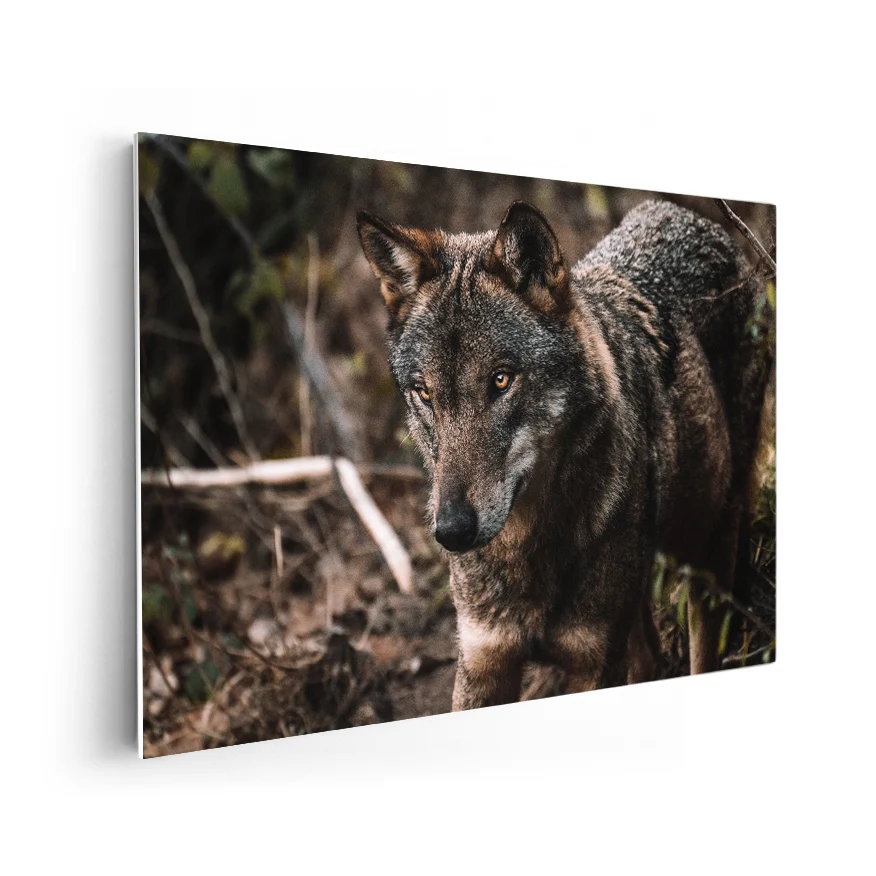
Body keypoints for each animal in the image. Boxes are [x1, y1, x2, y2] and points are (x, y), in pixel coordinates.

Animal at [358, 198, 772, 710]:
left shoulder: (594, 662)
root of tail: (678, 210)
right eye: (425, 393)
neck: (527, 551)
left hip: (708, 550)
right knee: (649, 652)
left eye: (501, 380)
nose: (452, 532)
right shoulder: (483, 662)